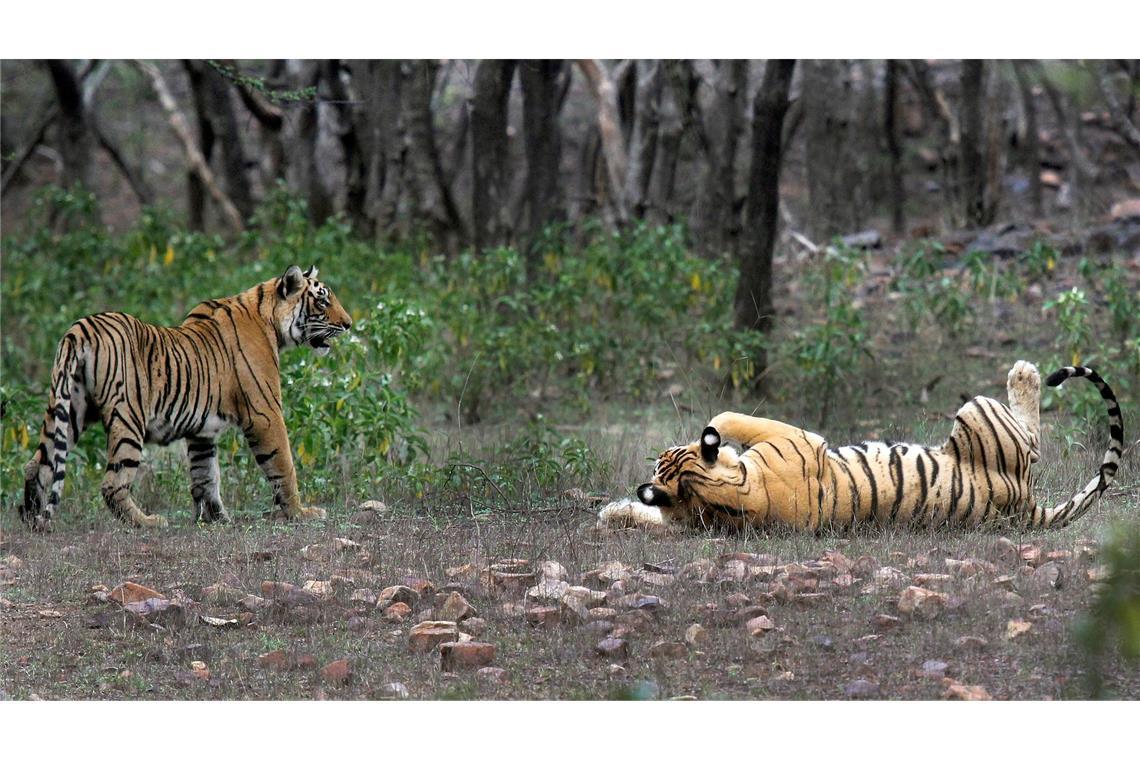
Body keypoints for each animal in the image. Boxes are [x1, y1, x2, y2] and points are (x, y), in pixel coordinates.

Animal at [21, 266, 351, 528]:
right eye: (323, 300)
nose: (348, 324)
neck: (269, 320)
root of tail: (81, 329)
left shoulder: (202, 431)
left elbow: (206, 475)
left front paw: (217, 518)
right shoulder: (265, 413)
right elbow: (283, 465)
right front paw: (301, 513)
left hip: (69, 409)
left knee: (38, 464)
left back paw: (31, 517)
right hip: (127, 417)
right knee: (112, 483)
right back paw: (148, 521)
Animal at [601, 364, 1126, 535]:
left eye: (664, 454)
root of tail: (1025, 506)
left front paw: (613, 512)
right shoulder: (797, 438)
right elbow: (728, 418)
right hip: (977, 411)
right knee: (1033, 439)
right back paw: (1025, 372)